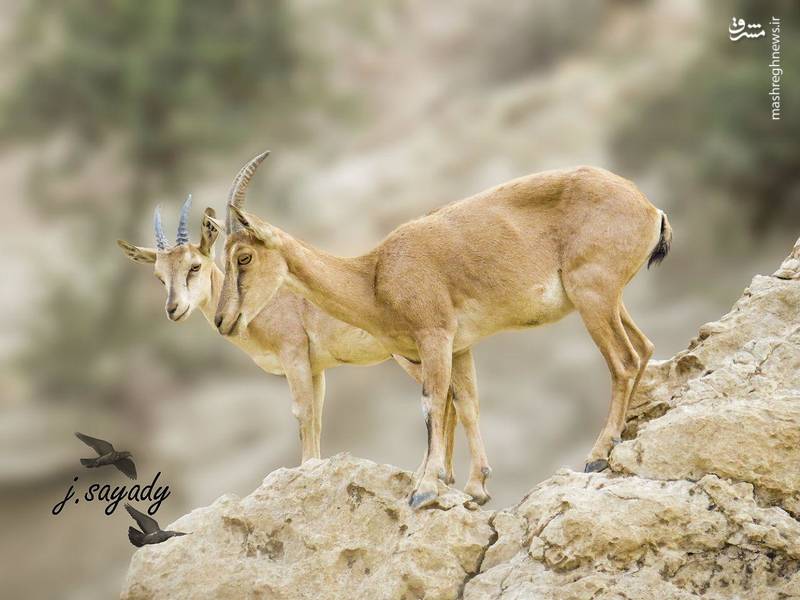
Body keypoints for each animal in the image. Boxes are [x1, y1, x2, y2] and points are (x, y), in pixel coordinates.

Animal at [115, 185, 460, 476]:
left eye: (194, 265)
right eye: (159, 276)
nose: (174, 309)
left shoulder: (293, 355)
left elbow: (302, 412)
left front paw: (306, 468)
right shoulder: (316, 369)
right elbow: (316, 417)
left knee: (446, 399)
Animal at [216, 152, 672, 508]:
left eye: (243, 257)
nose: (223, 321)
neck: (375, 275)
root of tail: (649, 207)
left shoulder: (434, 337)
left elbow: (432, 404)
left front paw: (424, 489)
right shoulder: (459, 347)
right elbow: (467, 403)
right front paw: (475, 487)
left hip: (593, 295)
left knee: (624, 360)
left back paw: (598, 454)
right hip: (607, 299)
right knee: (644, 348)